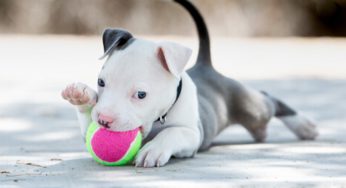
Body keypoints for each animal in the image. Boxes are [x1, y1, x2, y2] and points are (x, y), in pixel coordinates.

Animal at [61, 0, 316, 167]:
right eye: (101, 82)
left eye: (141, 95)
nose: (104, 121)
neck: (159, 119)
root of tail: (205, 65)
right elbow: (86, 124)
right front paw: (80, 95)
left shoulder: (192, 134)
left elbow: (173, 133)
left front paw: (154, 149)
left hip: (250, 106)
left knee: (267, 99)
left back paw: (304, 125)